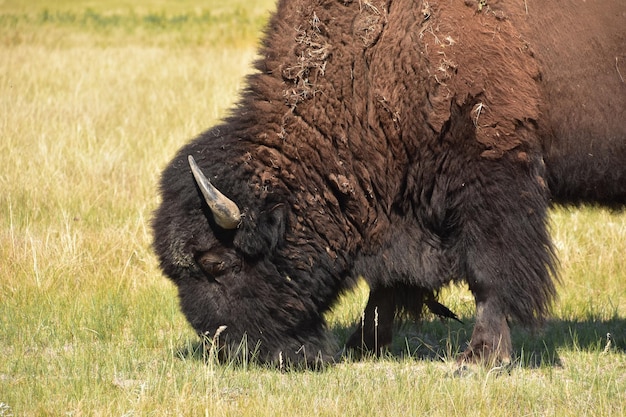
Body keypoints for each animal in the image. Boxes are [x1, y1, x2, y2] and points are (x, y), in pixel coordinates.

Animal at [151, 0, 624, 364]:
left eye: (216, 263)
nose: (231, 352)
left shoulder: (491, 180)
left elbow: (489, 272)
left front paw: (480, 359)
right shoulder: (399, 205)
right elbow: (389, 281)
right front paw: (362, 344)